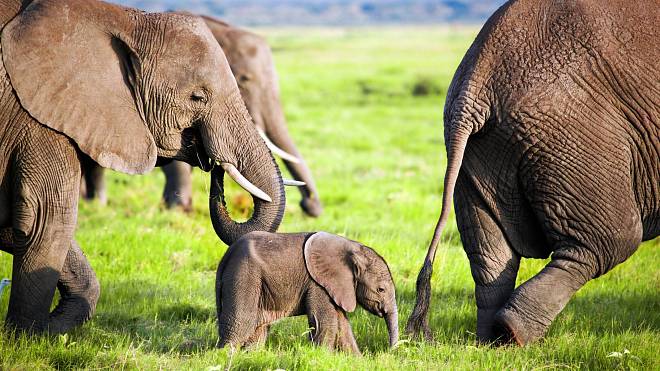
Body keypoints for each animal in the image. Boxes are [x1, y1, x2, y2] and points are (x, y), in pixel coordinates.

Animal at [0, 0, 284, 334]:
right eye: (198, 97)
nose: (215, 167)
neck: (124, 19)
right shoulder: (37, 118)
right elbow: (46, 219)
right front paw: (27, 337)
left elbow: (19, 225)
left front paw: (46, 331)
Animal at [215, 231, 398, 356]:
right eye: (381, 289)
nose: (389, 351)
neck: (352, 248)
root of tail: (227, 255)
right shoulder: (318, 284)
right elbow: (325, 322)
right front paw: (324, 357)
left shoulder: (335, 287)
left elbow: (342, 325)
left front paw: (357, 361)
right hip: (243, 275)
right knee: (241, 322)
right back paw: (225, 357)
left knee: (257, 328)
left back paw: (250, 356)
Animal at [404, 0, 656, 348]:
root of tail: (476, 81)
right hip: (571, 134)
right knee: (609, 241)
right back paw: (514, 333)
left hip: (479, 152)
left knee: (491, 257)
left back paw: (492, 340)